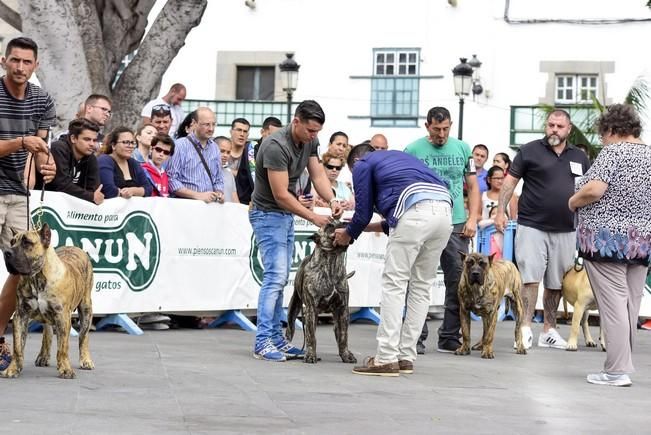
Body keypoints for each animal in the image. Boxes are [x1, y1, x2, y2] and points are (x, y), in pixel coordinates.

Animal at [0, 223, 94, 380]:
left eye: (27, 242)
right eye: (12, 242)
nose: (7, 252)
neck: (36, 278)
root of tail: (76, 248)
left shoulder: (63, 317)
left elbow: (63, 347)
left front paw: (65, 369)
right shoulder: (20, 315)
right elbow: (18, 347)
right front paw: (12, 369)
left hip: (86, 307)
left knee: (83, 335)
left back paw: (86, 360)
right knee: (47, 333)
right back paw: (43, 356)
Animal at [286, 221, 356, 364]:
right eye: (329, 226)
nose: (346, 222)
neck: (332, 261)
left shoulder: (343, 309)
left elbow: (343, 336)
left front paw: (346, 355)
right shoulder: (311, 309)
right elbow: (311, 336)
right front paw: (310, 355)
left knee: (338, 332)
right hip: (293, 310)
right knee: (290, 330)